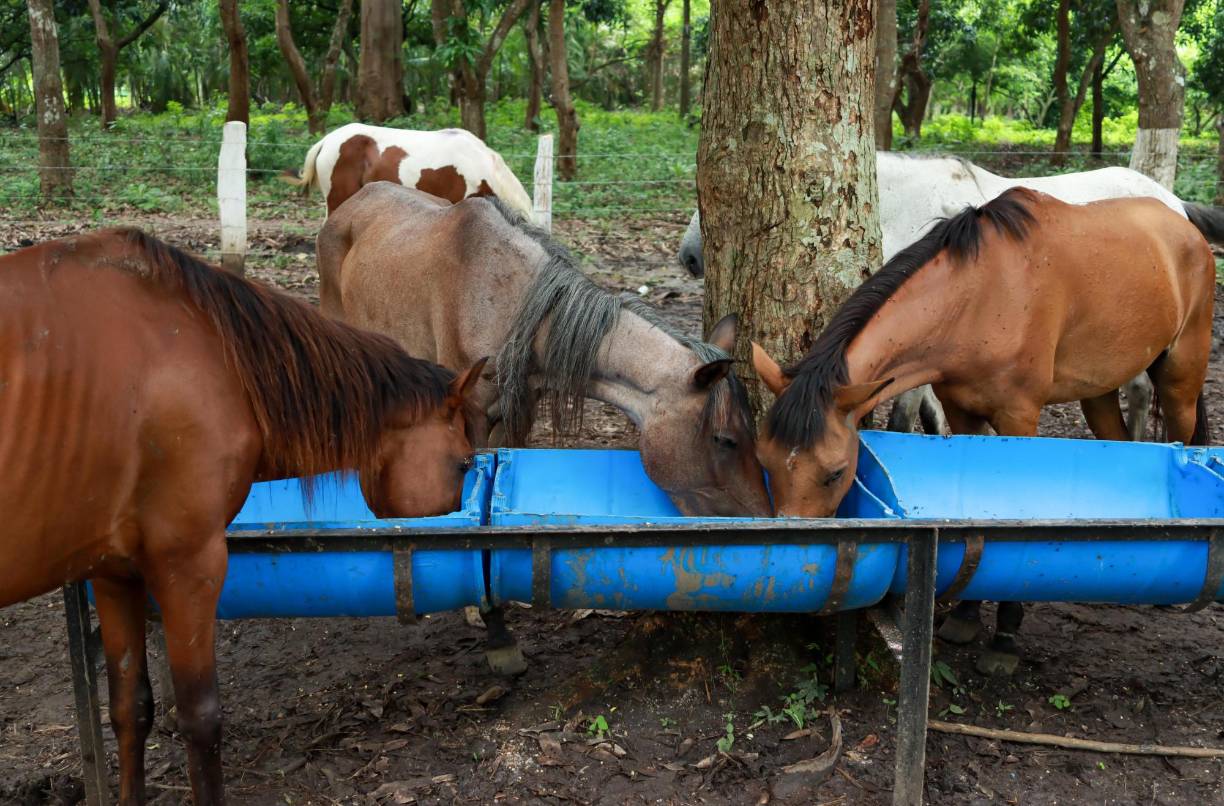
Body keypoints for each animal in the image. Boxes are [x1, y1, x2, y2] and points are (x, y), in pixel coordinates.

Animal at [0, 229, 487, 804]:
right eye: (462, 463)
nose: (475, 607)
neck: (214, 359)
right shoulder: (188, 565)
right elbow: (199, 718)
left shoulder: (114, 573)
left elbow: (129, 709)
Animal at [317, 181, 772, 671]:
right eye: (725, 439)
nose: (762, 518)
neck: (509, 300)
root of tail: (350, 202)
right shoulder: (469, 419)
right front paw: (491, 626)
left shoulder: (519, 412)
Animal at [751, 188, 1215, 675]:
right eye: (765, 461)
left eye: (837, 473)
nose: (795, 557)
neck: (980, 297)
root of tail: (1183, 224)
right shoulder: (961, 412)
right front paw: (968, 614)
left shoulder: (1019, 416)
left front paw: (1005, 636)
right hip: (1100, 389)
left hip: (1180, 379)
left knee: (1185, 437)